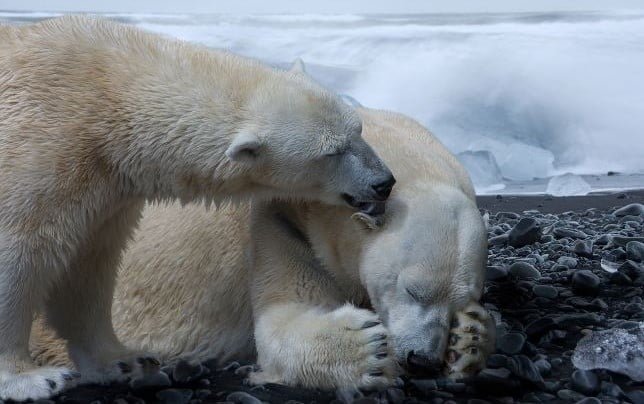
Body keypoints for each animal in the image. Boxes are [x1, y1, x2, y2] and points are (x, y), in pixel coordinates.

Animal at [0, 16, 394, 400]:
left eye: (358, 129)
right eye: (331, 152)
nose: (383, 182)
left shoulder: (105, 189)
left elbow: (87, 266)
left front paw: (124, 361)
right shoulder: (40, 151)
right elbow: (18, 256)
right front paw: (31, 379)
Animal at [32, 105, 496, 390]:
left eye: (463, 299)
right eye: (412, 289)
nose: (422, 359)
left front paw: (469, 339)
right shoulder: (280, 221)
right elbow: (284, 318)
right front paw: (367, 349)